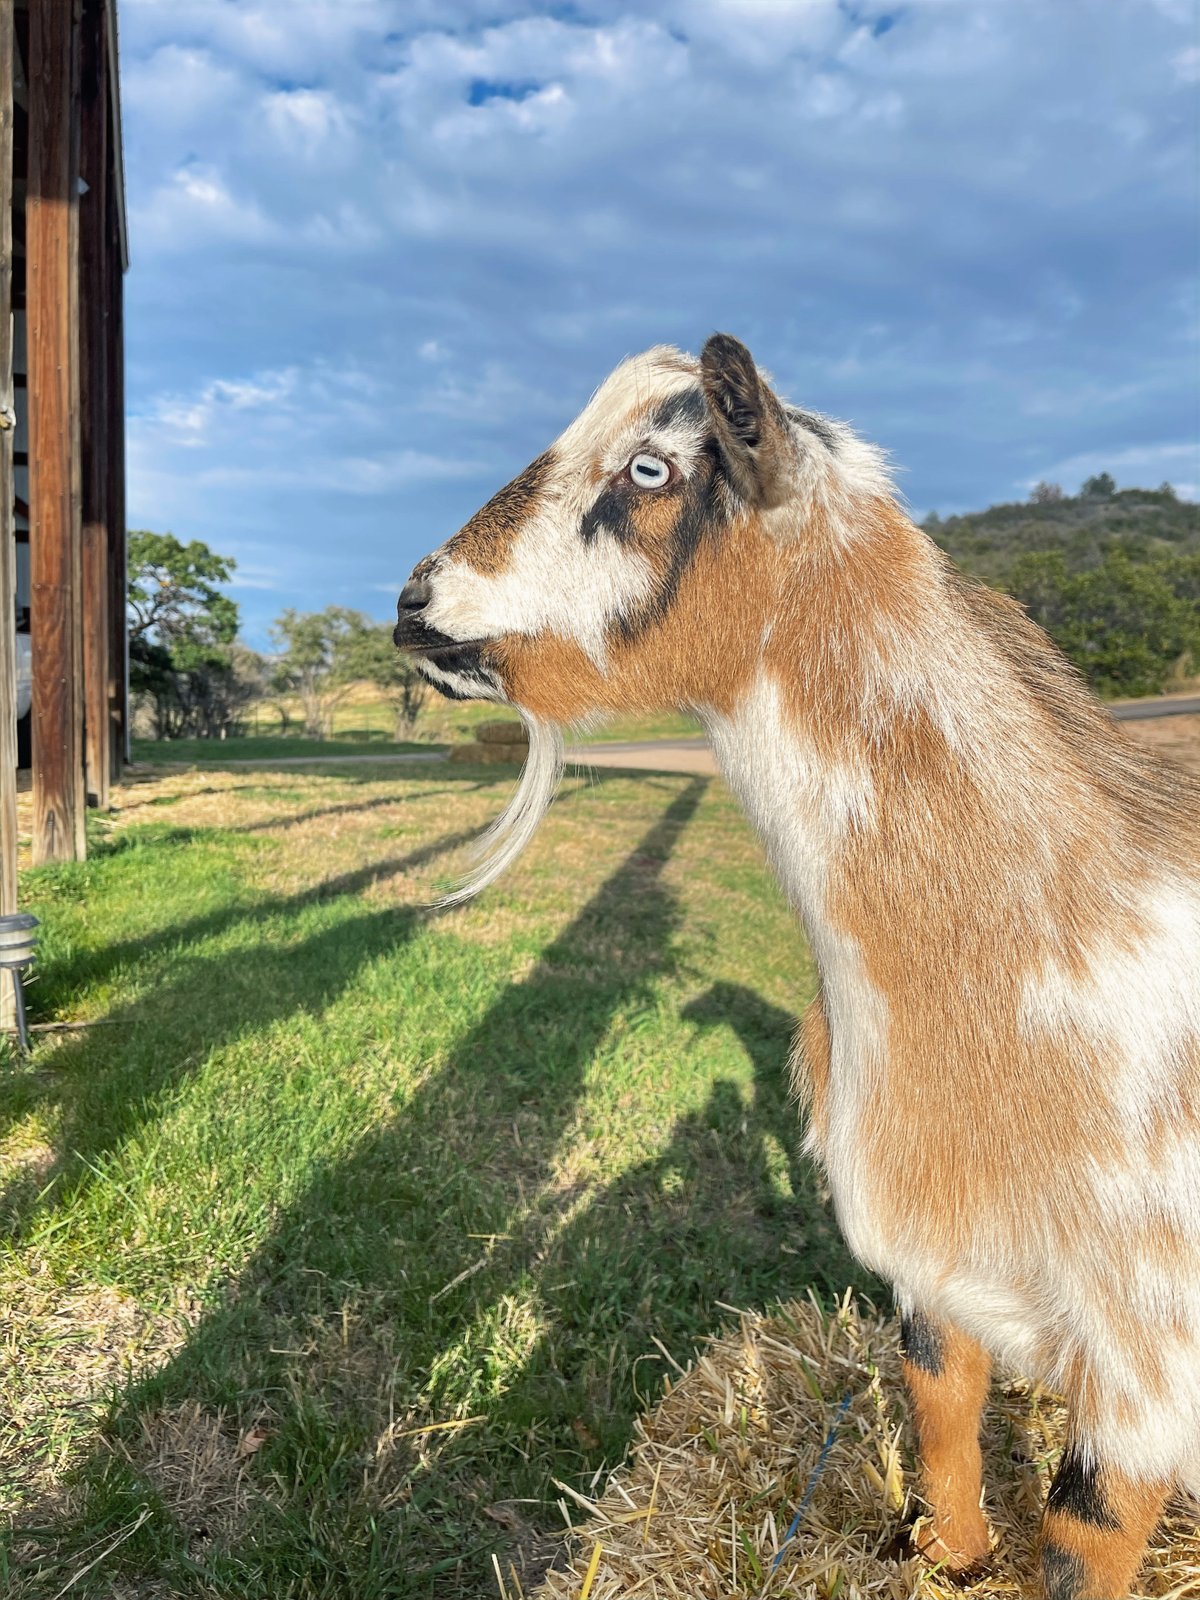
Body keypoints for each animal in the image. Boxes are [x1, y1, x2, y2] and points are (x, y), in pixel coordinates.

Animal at [395, 334, 1200, 1598]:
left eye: (652, 468)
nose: (413, 602)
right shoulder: (929, 1268)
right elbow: (938, 1395)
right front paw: (945, 1556)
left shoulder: (1149, 1354)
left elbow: (1086, 1538)